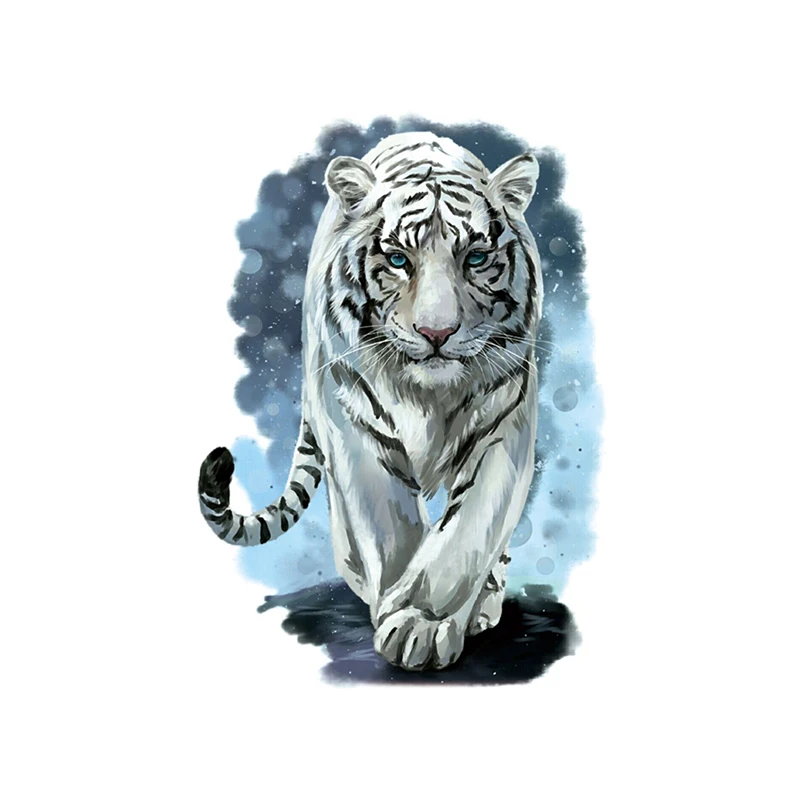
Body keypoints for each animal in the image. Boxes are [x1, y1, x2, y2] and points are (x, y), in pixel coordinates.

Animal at [198, 131, 543, 671]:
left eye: (475, 259)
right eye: (399, 260)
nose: (437, 333)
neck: (429, 395)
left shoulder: (503, 425)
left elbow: (468, 531)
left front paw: (423, 621)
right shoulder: (354, 422)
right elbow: (389, 526)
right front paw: (402, 616)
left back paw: (483, 606)